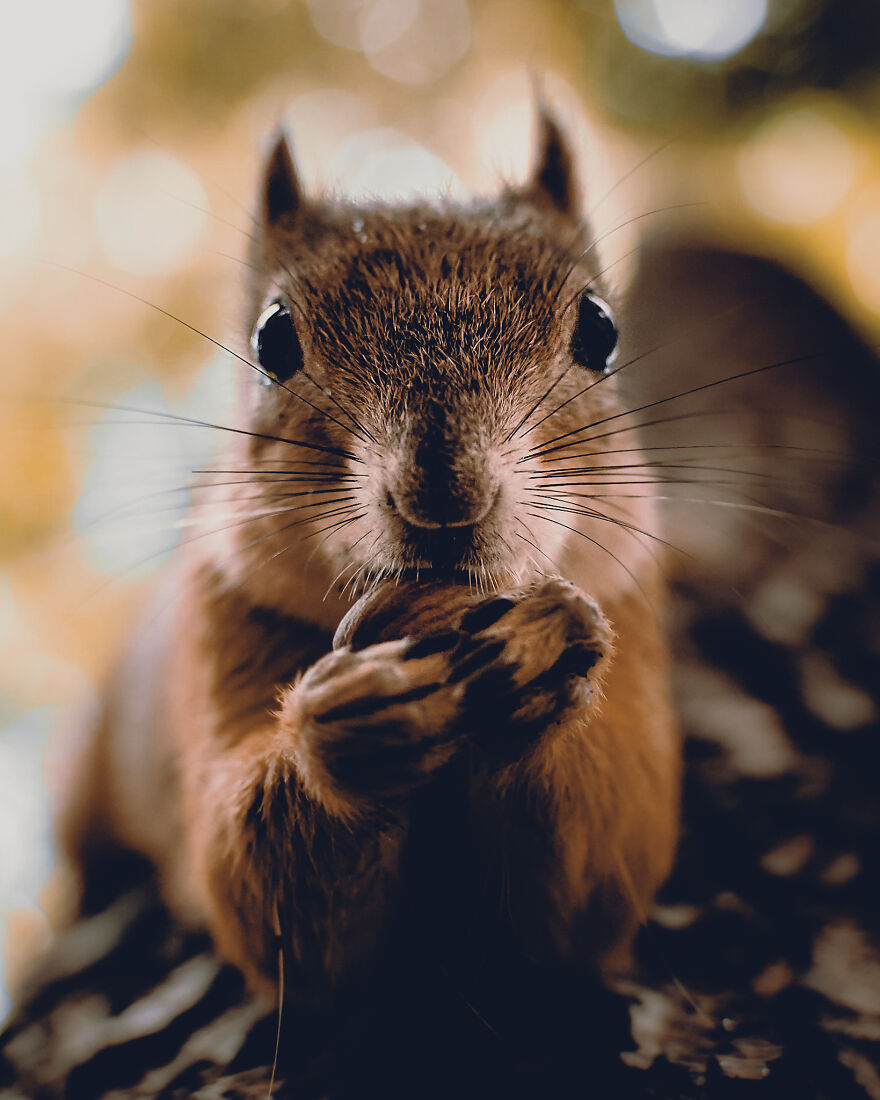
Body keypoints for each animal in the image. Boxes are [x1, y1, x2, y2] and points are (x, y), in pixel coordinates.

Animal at [55, 109, 681, 1008]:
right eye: (272, 338)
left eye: (600, 329)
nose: (444, 491)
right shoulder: (220, 621)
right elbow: (257, 893)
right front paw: (346, 728)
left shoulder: (631, 609)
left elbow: (595, 888)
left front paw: (541, 654)